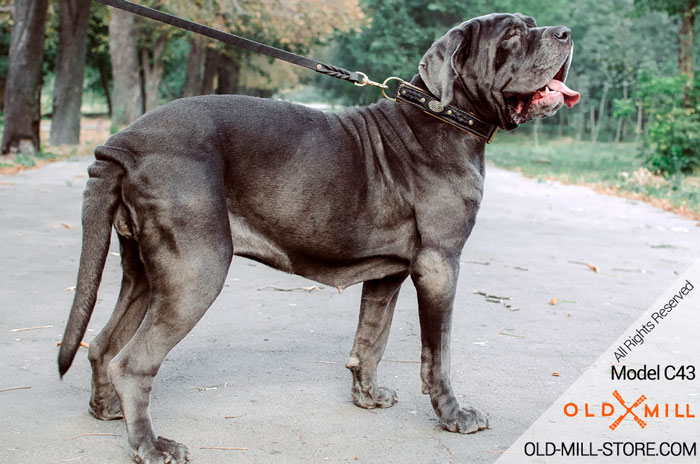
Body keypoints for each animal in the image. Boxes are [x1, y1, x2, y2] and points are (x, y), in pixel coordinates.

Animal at [58, 13, 580, 464]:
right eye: (513, 34)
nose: (565, 32)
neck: (445, 115)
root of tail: (122, 144)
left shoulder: (388, 273)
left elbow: (371, 338)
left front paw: (367, 396)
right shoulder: (439, 264)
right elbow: (438, 354)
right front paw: (455, 415)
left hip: (146, 272)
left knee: (102, 346)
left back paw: (110, 412)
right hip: (195, 270)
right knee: (133, 362)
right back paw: (150, 445)